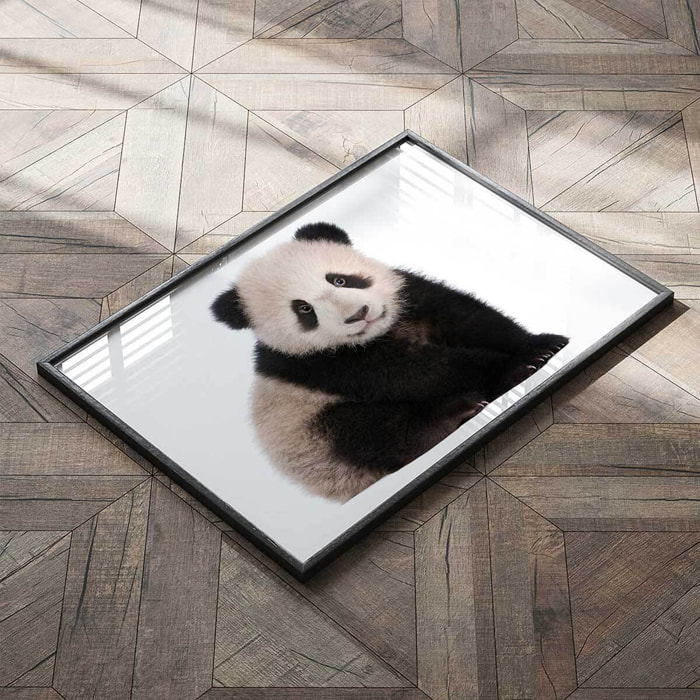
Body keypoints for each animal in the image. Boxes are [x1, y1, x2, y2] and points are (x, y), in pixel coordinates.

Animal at [211, 222, 568, 502]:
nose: (359, 314)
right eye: (304, 309)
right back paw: (450, 414)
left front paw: (540, 346)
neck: (380, 332)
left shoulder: (405, 296)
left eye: (339, 280)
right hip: (310, 435)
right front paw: (511, 369)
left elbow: (466, 316)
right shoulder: (321, 363)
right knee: (371, 432)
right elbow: (413, 373)